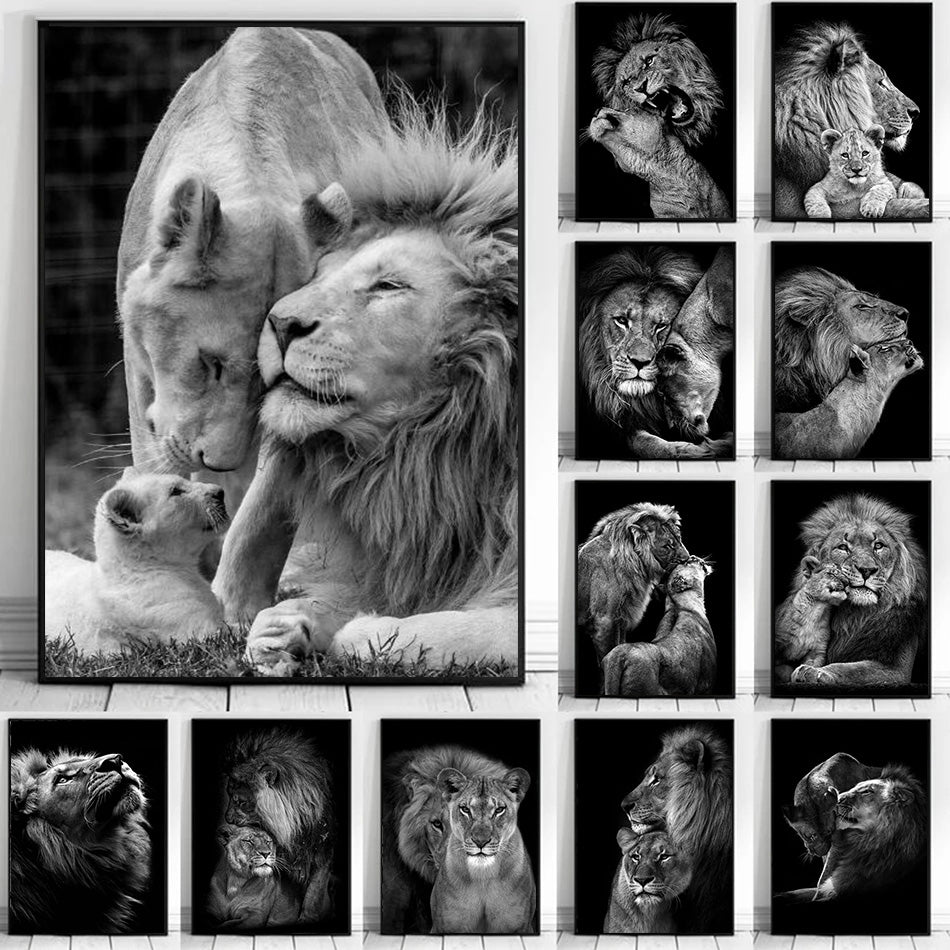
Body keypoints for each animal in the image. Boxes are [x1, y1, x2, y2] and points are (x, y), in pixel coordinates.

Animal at [210, 92, 519, 674]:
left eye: (388, 286)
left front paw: (357, 631)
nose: (280, 323)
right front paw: (284, 629)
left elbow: (433, 631)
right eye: (318, 275)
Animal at [224, 728, 335, 924]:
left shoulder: (323, 852)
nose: (227, 818)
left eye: (241, 801)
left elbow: (314, 893)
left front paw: (306, 918)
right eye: (228, 795)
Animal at [430, 766, 537, 934]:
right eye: (465, 809)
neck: (483, 876)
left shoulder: (523, 927)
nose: (480, 841)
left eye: (499, 810)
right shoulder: (442, 926)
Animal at [577, 502, 690, 666]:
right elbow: (608, 654)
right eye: (667, 546)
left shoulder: (621, 618)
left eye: (679, 539)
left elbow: (619, 645)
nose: (687, 559)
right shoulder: (604, 620)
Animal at [775, 493, 927, 689]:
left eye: (878, 545)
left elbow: (851, 669)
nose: (866, 570)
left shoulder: (898, 670)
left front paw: (815, 672)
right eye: (842, 547)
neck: (854, 616)